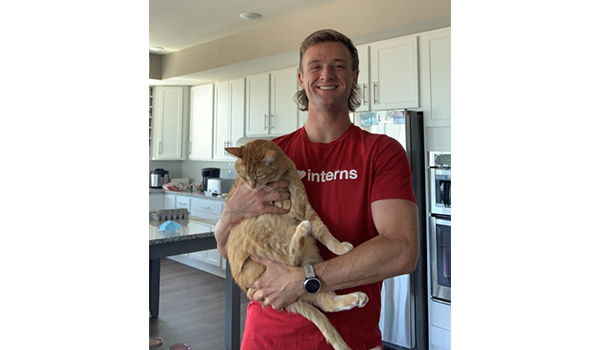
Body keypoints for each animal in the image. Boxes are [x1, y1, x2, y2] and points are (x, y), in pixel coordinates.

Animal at [224, 139, 366, 350]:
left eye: (258, 175)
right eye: (243, 176)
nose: (252, 187)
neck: (285, 175)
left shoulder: (306, 208)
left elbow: (324, 231)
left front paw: (338, 246)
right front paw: (280, 199)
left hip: (310, 264)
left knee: (326, 301)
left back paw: (356, 298)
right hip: (256, 231)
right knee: (290, 257)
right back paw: (301, 230)